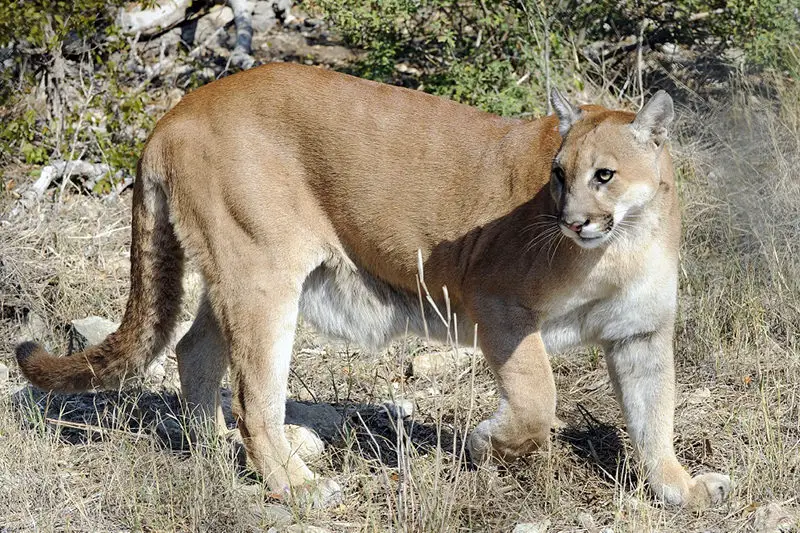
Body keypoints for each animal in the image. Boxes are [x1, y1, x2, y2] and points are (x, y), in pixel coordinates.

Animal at [16, 63, 731, 508]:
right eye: (557, 175)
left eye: (603, 174)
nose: (571, 220)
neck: (622, 244)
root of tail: (177, 109)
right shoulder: (497, 304)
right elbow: (537, 399)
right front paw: (487, 443)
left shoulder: (640, 333)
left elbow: (655, 419)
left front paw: (682, 489)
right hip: (261, 273)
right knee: (252, 395)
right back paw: (297, 484)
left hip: (237, 273)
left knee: (196, 353)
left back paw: (216, 449)